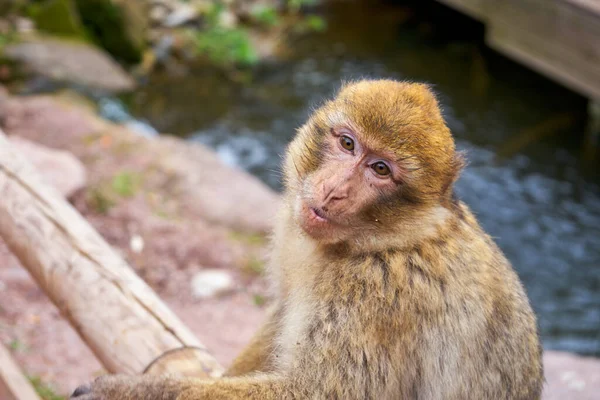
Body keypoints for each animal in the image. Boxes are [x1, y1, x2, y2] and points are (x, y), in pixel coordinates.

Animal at [70, 79, 544, 398]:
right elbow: (282, 316)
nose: (334, 190)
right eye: (348, 144)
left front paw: (119, 393)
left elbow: (315, 392)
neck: (383, 240)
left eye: (381, 169)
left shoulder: (375, 295)